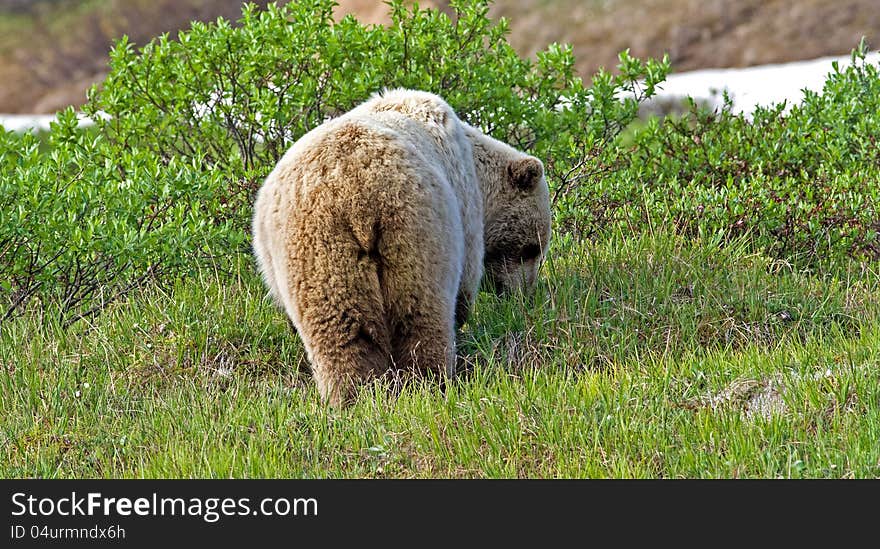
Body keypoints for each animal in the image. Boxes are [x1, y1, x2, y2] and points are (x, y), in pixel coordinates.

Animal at [249, 90, 552, 404]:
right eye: (532, 248)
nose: (524, 294)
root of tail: (352, 191)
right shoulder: (464, 207)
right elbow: (465, 284)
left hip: (317, 246)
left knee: (344, 327)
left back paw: (354, 394)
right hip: (414, 231)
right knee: (418, 313)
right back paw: (427, 383)